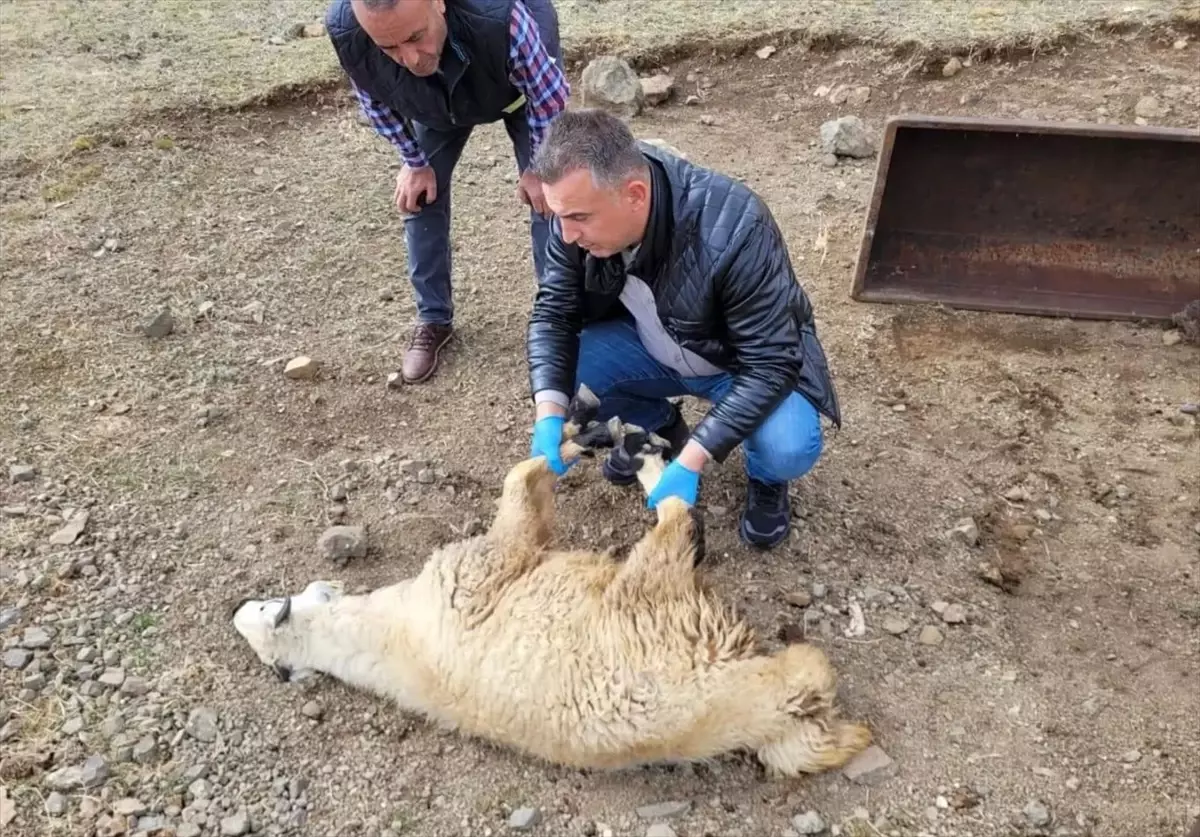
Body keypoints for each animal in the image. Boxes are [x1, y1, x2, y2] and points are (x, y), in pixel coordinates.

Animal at [231, 383, 873, 777]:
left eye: (262, 610)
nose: (239, 607)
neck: (378, 635)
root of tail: (762, 713)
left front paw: (575, 430)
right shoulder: (486, 567)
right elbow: (524, 483)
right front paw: (568, 438)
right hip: (660, 598)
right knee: (677, 522)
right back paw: (647, 461)